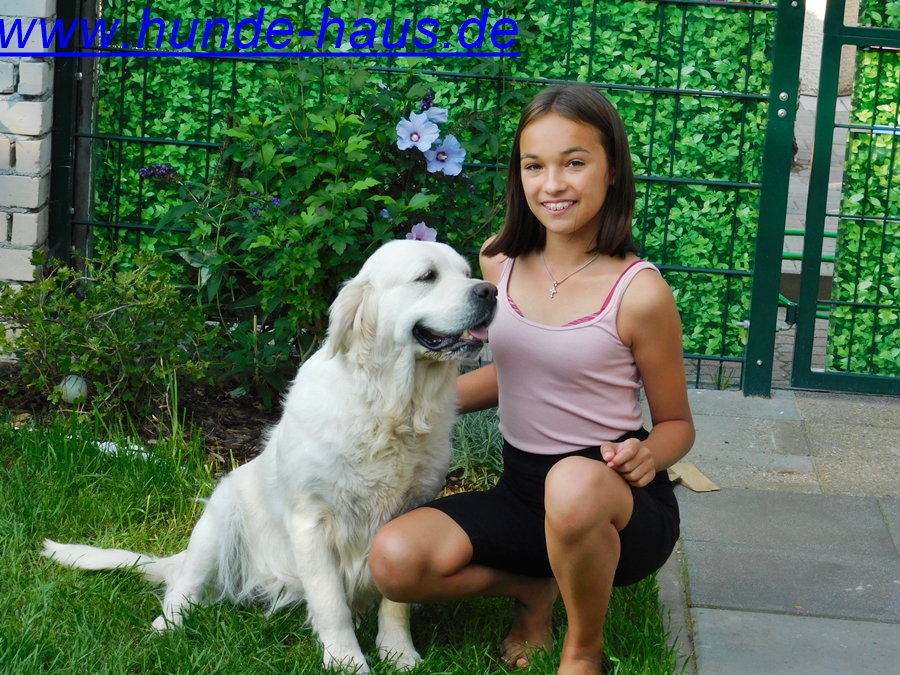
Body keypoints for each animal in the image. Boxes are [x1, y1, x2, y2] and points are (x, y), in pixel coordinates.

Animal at [43, 240, 497, 673]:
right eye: (427, 276)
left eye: (467, 272)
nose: (489, 291)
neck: (391, 407)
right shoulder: (311, 522)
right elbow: (330, 603)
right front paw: (346, 662)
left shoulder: (407, 516)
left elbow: (395, 602)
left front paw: (399, 654)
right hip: (217, 523)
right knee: (183, 588)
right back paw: (166, 628)